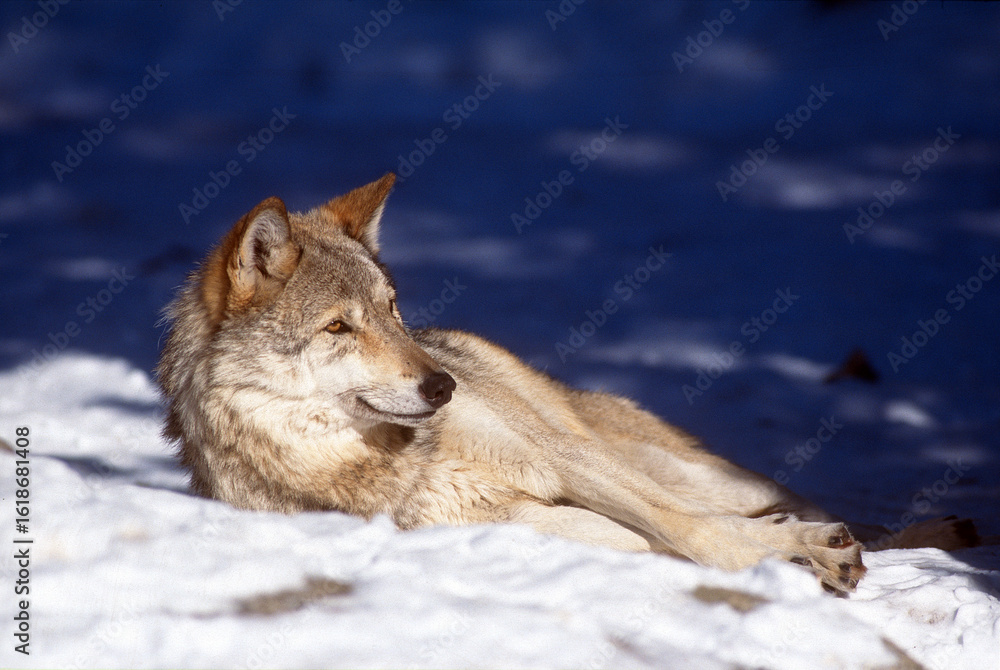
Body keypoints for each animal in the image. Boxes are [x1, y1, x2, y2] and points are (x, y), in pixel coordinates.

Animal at [157, 173, 978, 596]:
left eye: (392, 311)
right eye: (337, 328)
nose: (444, 386)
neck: (387, 463)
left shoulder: (561, 464)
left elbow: (691, 530)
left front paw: (806, 555)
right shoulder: (522, 523)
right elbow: (681, 541)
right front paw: (790, 562)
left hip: (669, 464)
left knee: (778, 504)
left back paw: (910, 536)